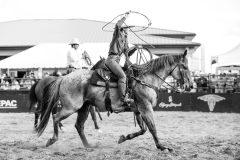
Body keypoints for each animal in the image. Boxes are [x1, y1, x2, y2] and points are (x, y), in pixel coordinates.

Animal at [36, 51, 192, 150]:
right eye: (184, 66)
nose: (190, 86)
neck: (145, 80)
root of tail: (63, 77)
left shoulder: (137, 110)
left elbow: (143, 129)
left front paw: (123, 137)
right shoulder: (145, 108)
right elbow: (152, 128)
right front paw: (162, 146)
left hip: (84, 107)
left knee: (79, 126)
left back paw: (88, 146)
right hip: (71, 107)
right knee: (56, 117)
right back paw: (52, 140)